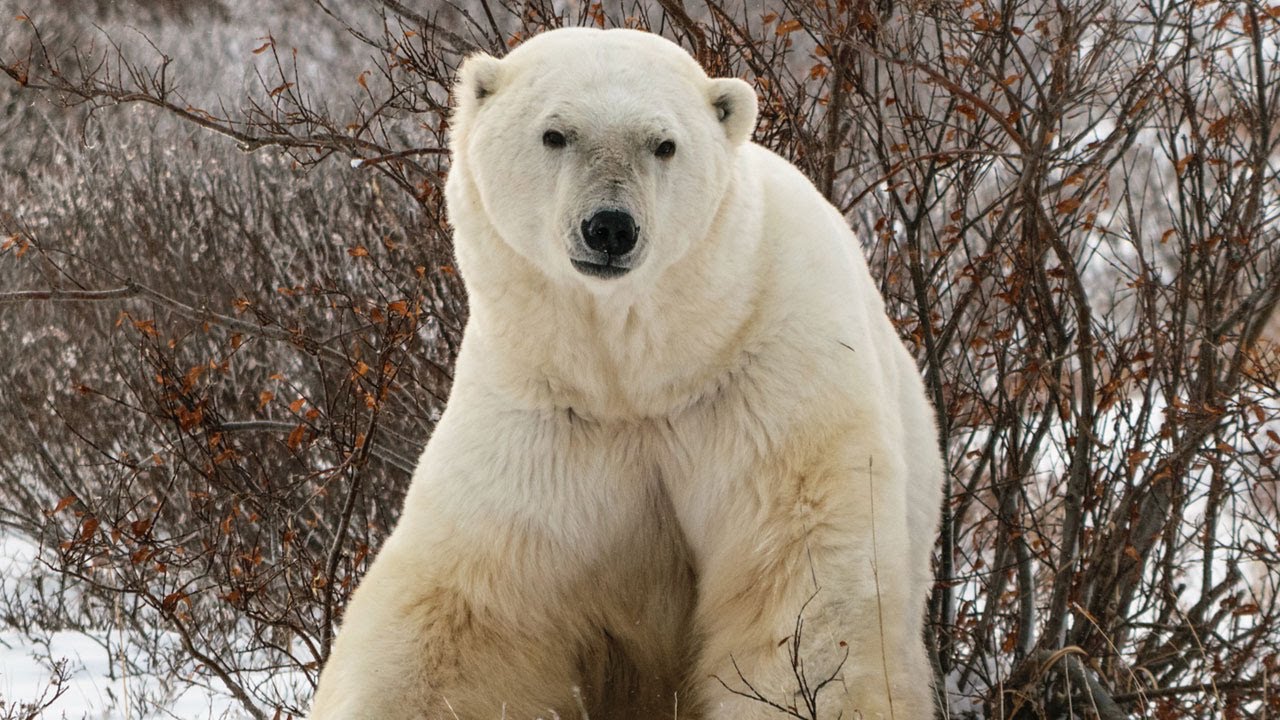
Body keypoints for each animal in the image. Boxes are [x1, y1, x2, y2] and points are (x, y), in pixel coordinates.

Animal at [309, 27, 944, 720]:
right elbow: (462, 614)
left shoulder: (773, 386)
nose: (610, 227)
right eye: (555, 134)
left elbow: (801, 587)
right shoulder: (541, 420)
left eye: (663, 143)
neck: (642, 377)